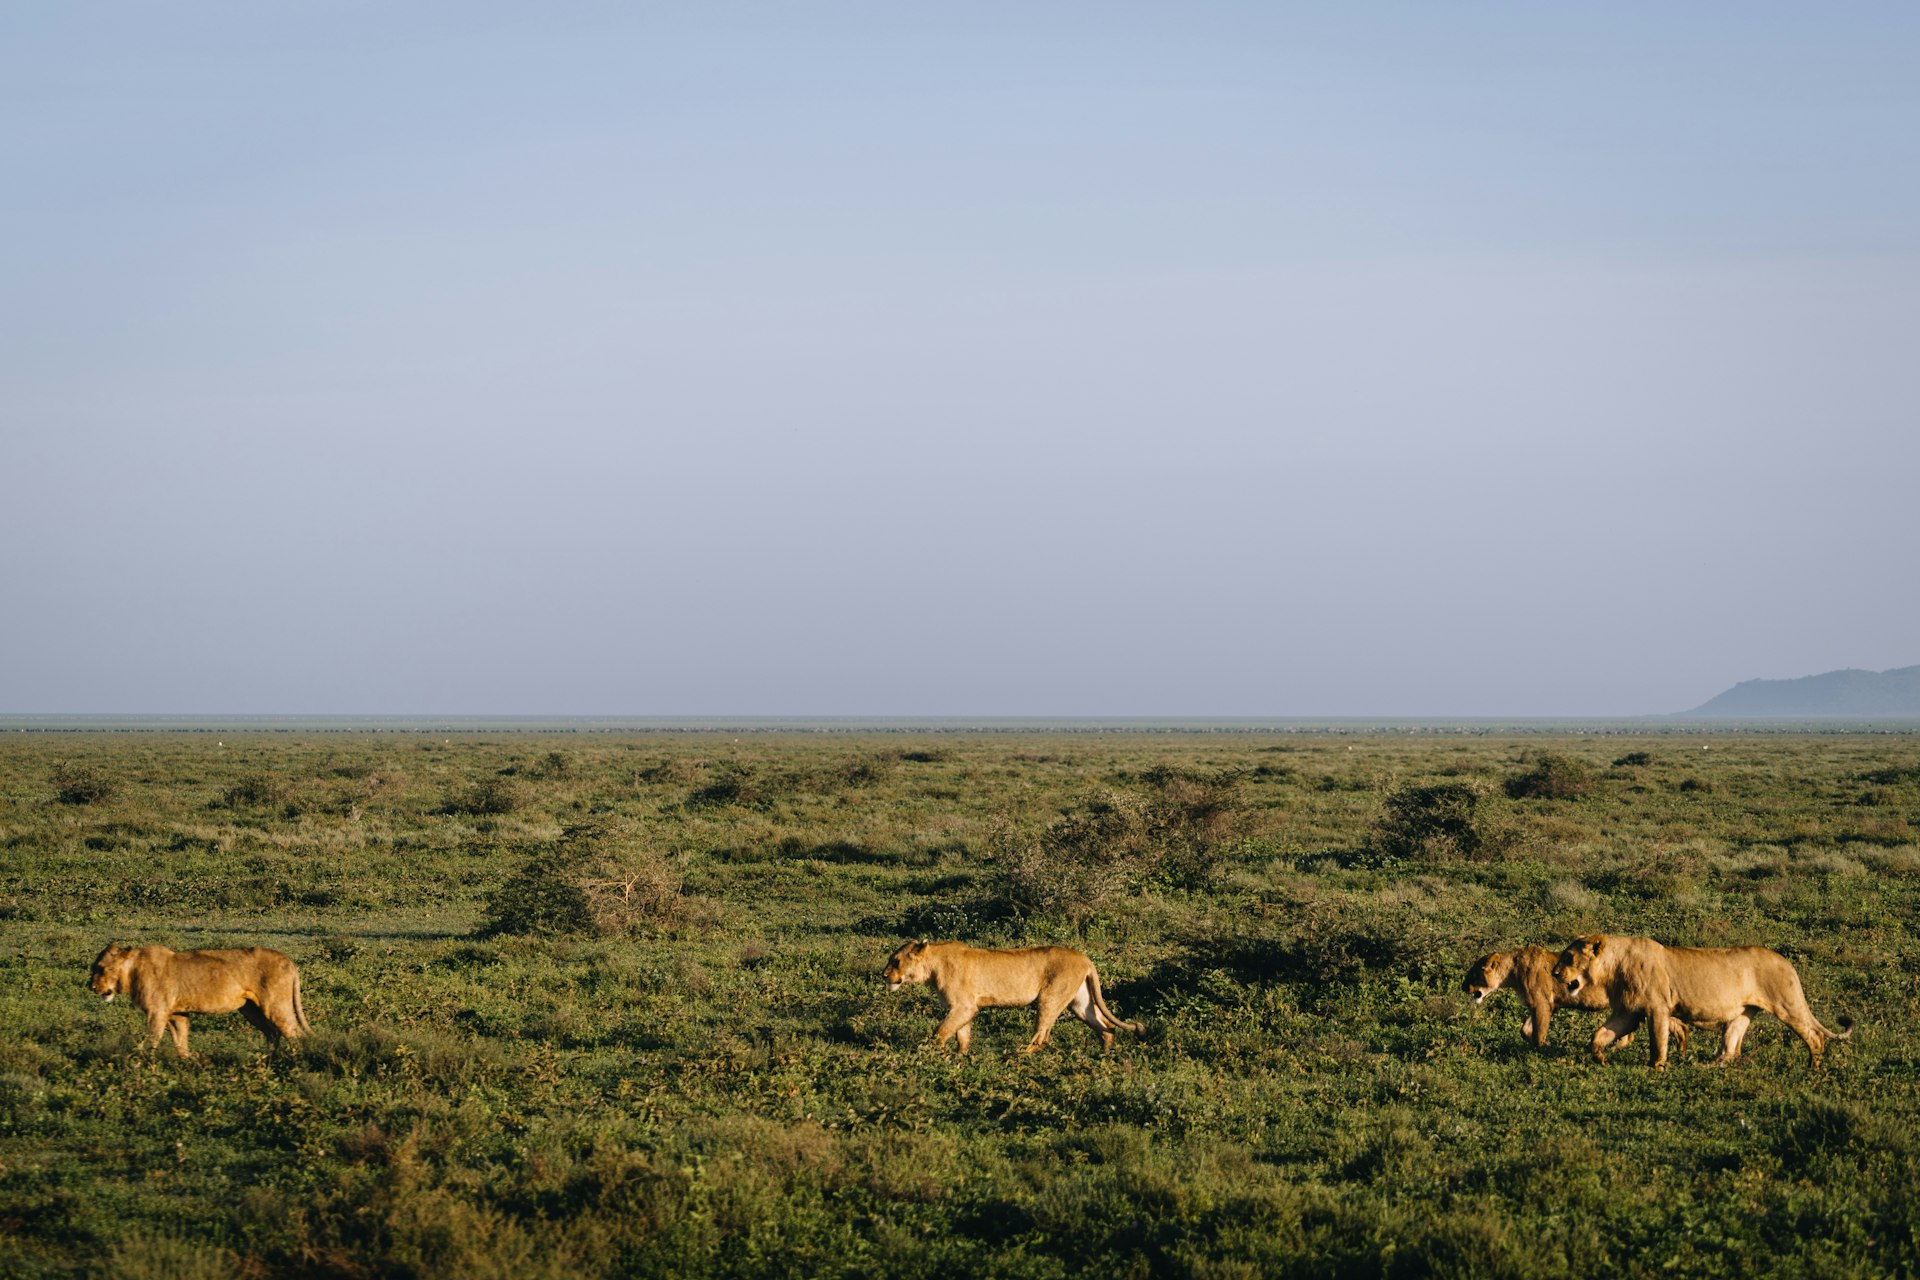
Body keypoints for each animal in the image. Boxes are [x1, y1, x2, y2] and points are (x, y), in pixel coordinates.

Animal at [88, 942, 312, 1057]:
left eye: (101, 968)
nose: (91, 987)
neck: (132, 970)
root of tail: (289, 961)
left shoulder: (157, 1011)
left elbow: (152, 1039)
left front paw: (144, 1063)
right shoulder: (176, 1013)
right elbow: (181, 1042)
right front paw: (186, 1064)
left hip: (274, 1005)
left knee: (294, 1033)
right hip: (250, 1009)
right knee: (273, 1033)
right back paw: (265, 1061)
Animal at [882, 940, 1144, 1053]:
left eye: (896, 961)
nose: (883, 975)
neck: (933, 964)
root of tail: (1085, 958)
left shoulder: (963, 1006)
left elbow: (941, 1031)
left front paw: (930, 1053)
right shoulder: (965, 1008)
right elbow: (962, 1035)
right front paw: (960, 1059)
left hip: (1050, 997)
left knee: (1042, 1035)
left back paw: (1020, 1057)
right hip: (1080, 1003)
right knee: (1106, 1026)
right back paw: (1105, 1055)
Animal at [1462, 945, 1690, 1054]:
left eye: (1473, 974)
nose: (1462, 987)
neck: (1512, 972)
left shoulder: (1542, 1003)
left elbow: (1537, 1034)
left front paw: (1542, 1050)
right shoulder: (1543, 1005)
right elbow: (1525, 1030)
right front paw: (1545, 1044)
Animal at [1553, 934, 1852, 1070]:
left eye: (1568, 957)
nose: (1554, 973)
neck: (1613, 967)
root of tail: (1788, 964)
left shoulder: (1656, 1007)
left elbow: (1657, 1041)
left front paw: (1656, 1068)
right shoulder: (1628, 1011)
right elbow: (1599, 1035)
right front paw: (1601, 1058)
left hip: (1786, 1004)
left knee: (1814, 1035)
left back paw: (1813, 1067)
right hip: (1743, 1013)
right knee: (1731, 1048)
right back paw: (1707, 1067)